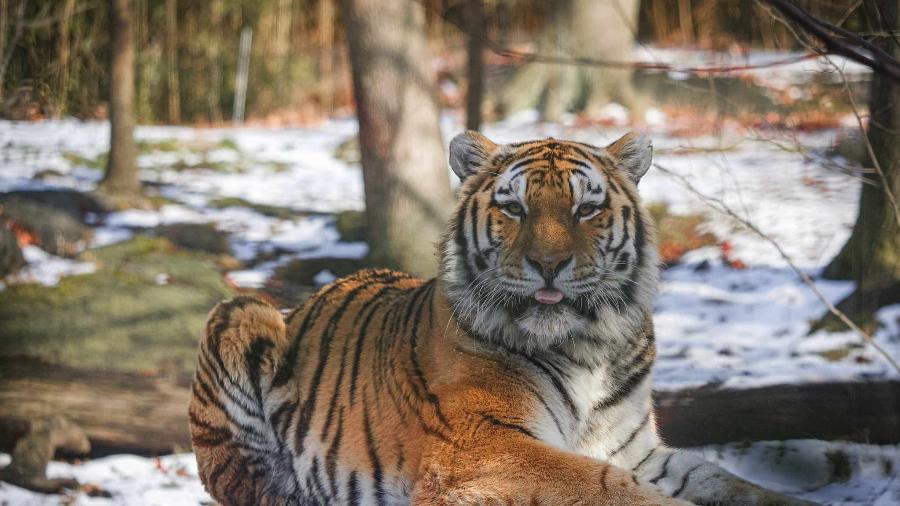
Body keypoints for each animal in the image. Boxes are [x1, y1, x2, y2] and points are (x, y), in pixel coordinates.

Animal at [190, 131, 816, 506]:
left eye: (586, 208)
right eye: (514, 207)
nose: (549, 263)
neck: (589, 345)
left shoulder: (634, 448)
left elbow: (722, 478)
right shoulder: (483, 446)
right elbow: (604, 484)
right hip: (241, 312)